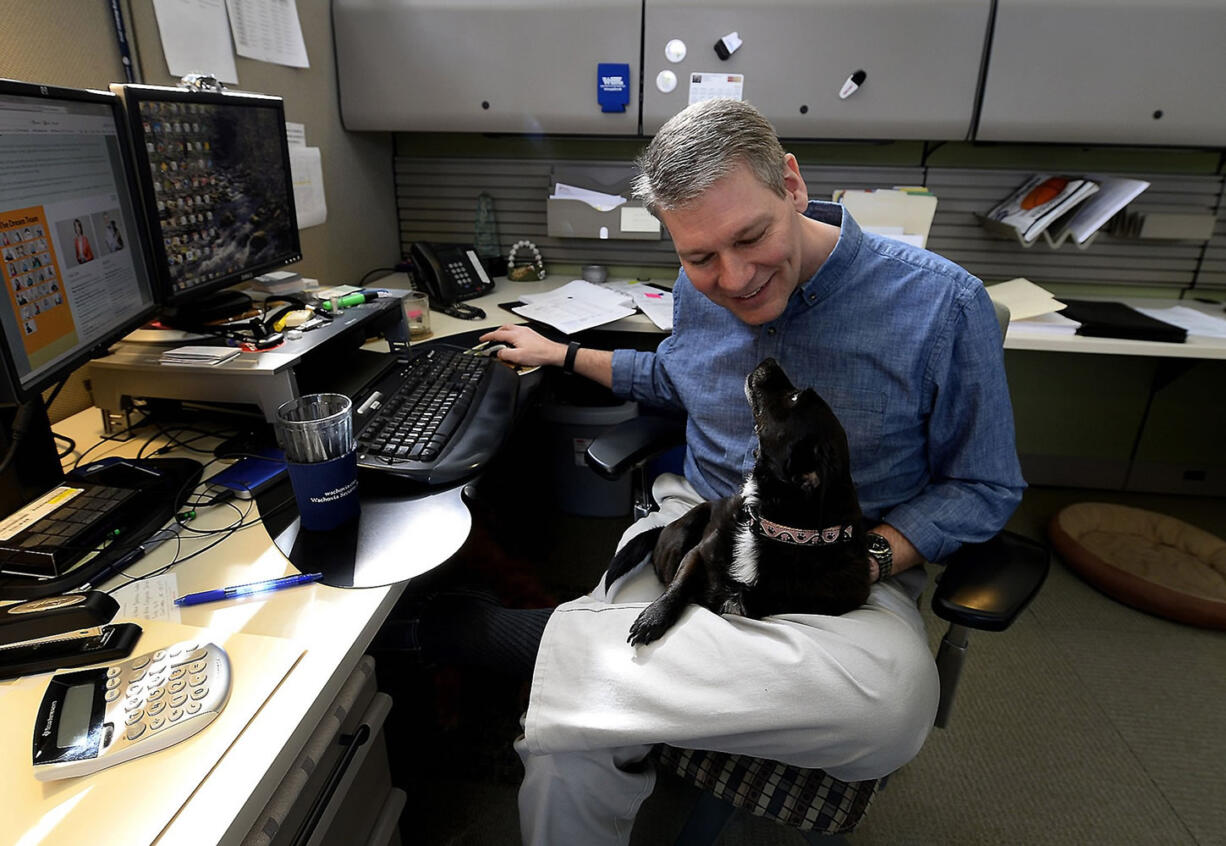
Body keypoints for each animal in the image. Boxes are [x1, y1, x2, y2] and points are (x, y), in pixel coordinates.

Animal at [605, 358, 872, 647]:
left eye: (794, 398)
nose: (769, 359)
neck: (774, 530)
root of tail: (662, 529)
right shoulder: (696, 554)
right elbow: (679, 586)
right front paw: (654, 617)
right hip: (687, 527)